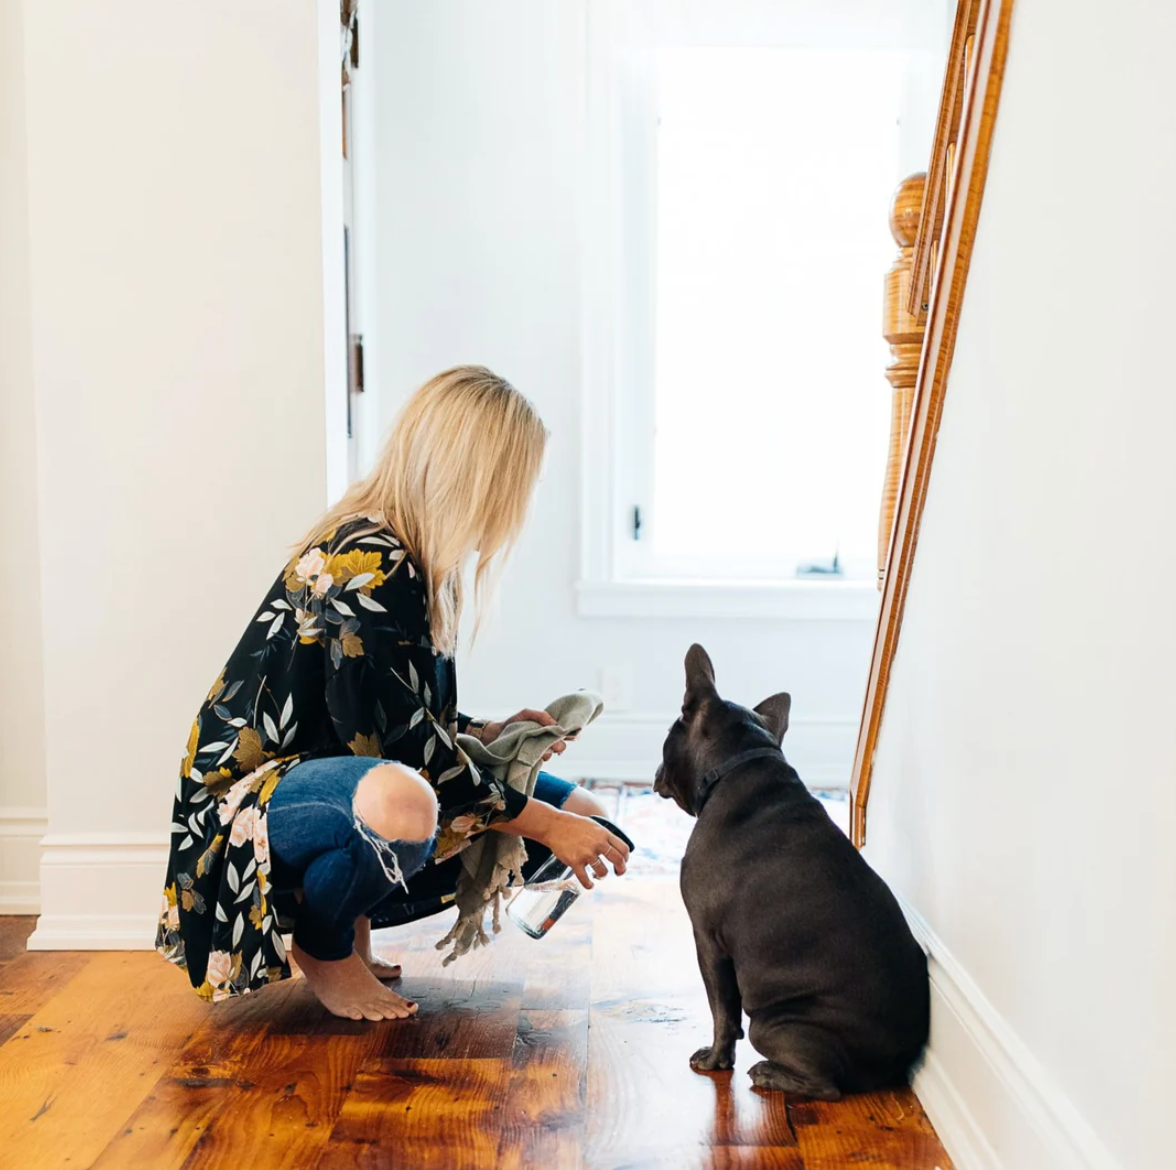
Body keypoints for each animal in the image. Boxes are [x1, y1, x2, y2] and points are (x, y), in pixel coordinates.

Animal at [653, 639, 926, 1095]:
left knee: (826, 1085)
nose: (655, 769)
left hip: (770, 1024)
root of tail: (891, 1064)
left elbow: (721, 1010)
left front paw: (715, 1060)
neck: (740, 762)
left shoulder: (707, 940)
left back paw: (768, 1073)